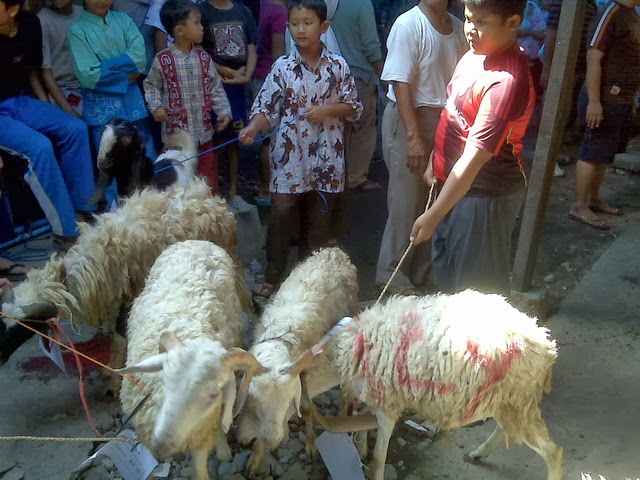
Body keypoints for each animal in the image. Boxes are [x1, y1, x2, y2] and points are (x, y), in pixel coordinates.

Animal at [0, 176, 242, 390]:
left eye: (23, 327)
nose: (1, 358)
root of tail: (208, 195)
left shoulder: (126, 297)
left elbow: (117, 338)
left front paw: (114, 379)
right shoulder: (112, 301)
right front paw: (109, 370)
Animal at [116, 242, 264, 480]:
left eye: (213, 393)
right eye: (164, 380)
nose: (161, 446)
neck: (189, 332)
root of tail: (197, 241)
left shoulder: (203, 433)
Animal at [236, 248, 360, 476]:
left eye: (287, 401)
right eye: (254, 401)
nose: (273, 441)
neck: (282, 339)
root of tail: (332, 251)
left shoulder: (306, 378)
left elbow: (308, 409)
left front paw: (310, 444)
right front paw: (257, 456)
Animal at [288, 288, 564, 480]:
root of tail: (545, 344)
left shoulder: (387, 404)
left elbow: (378, 459)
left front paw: (371, 462)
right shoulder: (373, 395)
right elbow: (363, 428)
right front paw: (362, 447)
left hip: (517, 400)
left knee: (552, 452)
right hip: (507, 401)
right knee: (505, 430)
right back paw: (479, 452)